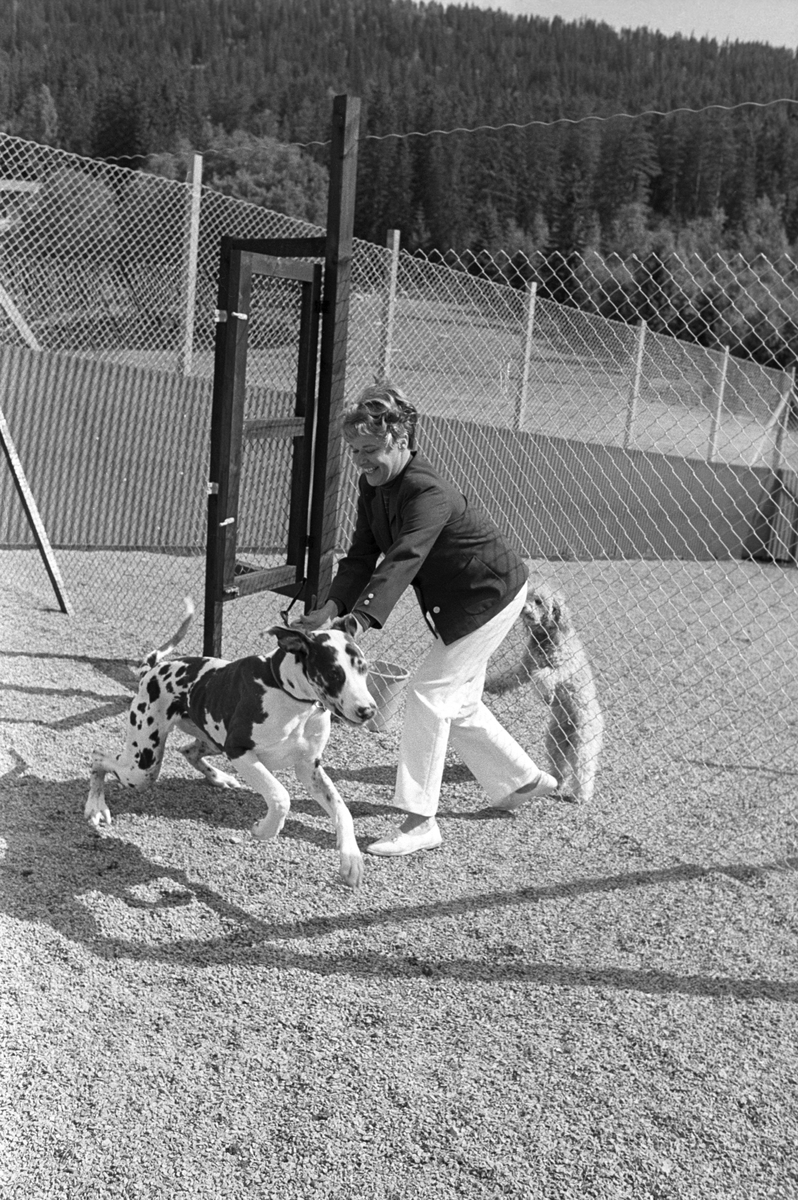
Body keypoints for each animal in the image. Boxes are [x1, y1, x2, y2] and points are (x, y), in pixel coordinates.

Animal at [85, 600, 374, 892]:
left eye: (364, 668)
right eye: (333, 673)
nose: (369, 710)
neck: (289, 693)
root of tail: (153, 671)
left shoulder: (309, 767)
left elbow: (342, 810)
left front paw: (351, 860)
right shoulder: (239, 751)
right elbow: (281, 796)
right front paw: (264, 829)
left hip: (209, 740)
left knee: (188, 751)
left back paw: (218, 777)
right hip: (143, 765)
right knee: (98, 756)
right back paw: (96, 806)